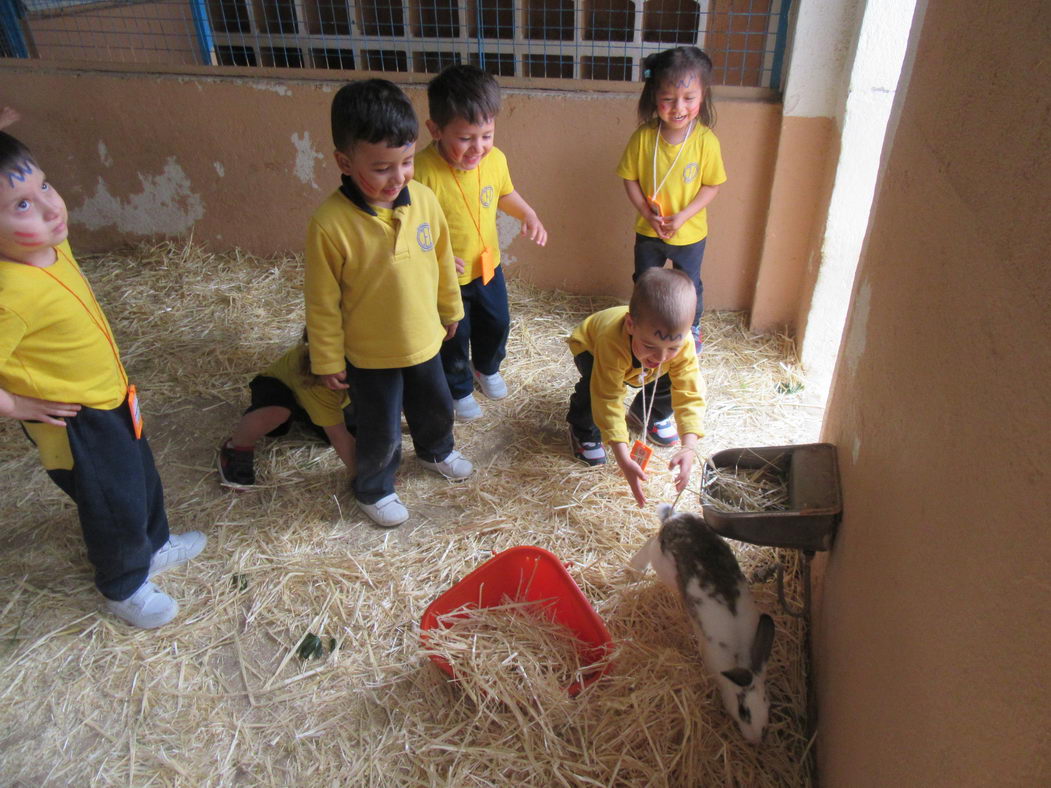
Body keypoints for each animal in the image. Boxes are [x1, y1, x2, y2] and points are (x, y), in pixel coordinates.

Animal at [626, 502, 777, 743]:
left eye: (768, 706)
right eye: (744, 711)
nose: (756, 740)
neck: (738, 655)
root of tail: (673, 519)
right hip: (661, 562)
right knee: (650, 543)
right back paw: (635, 569)